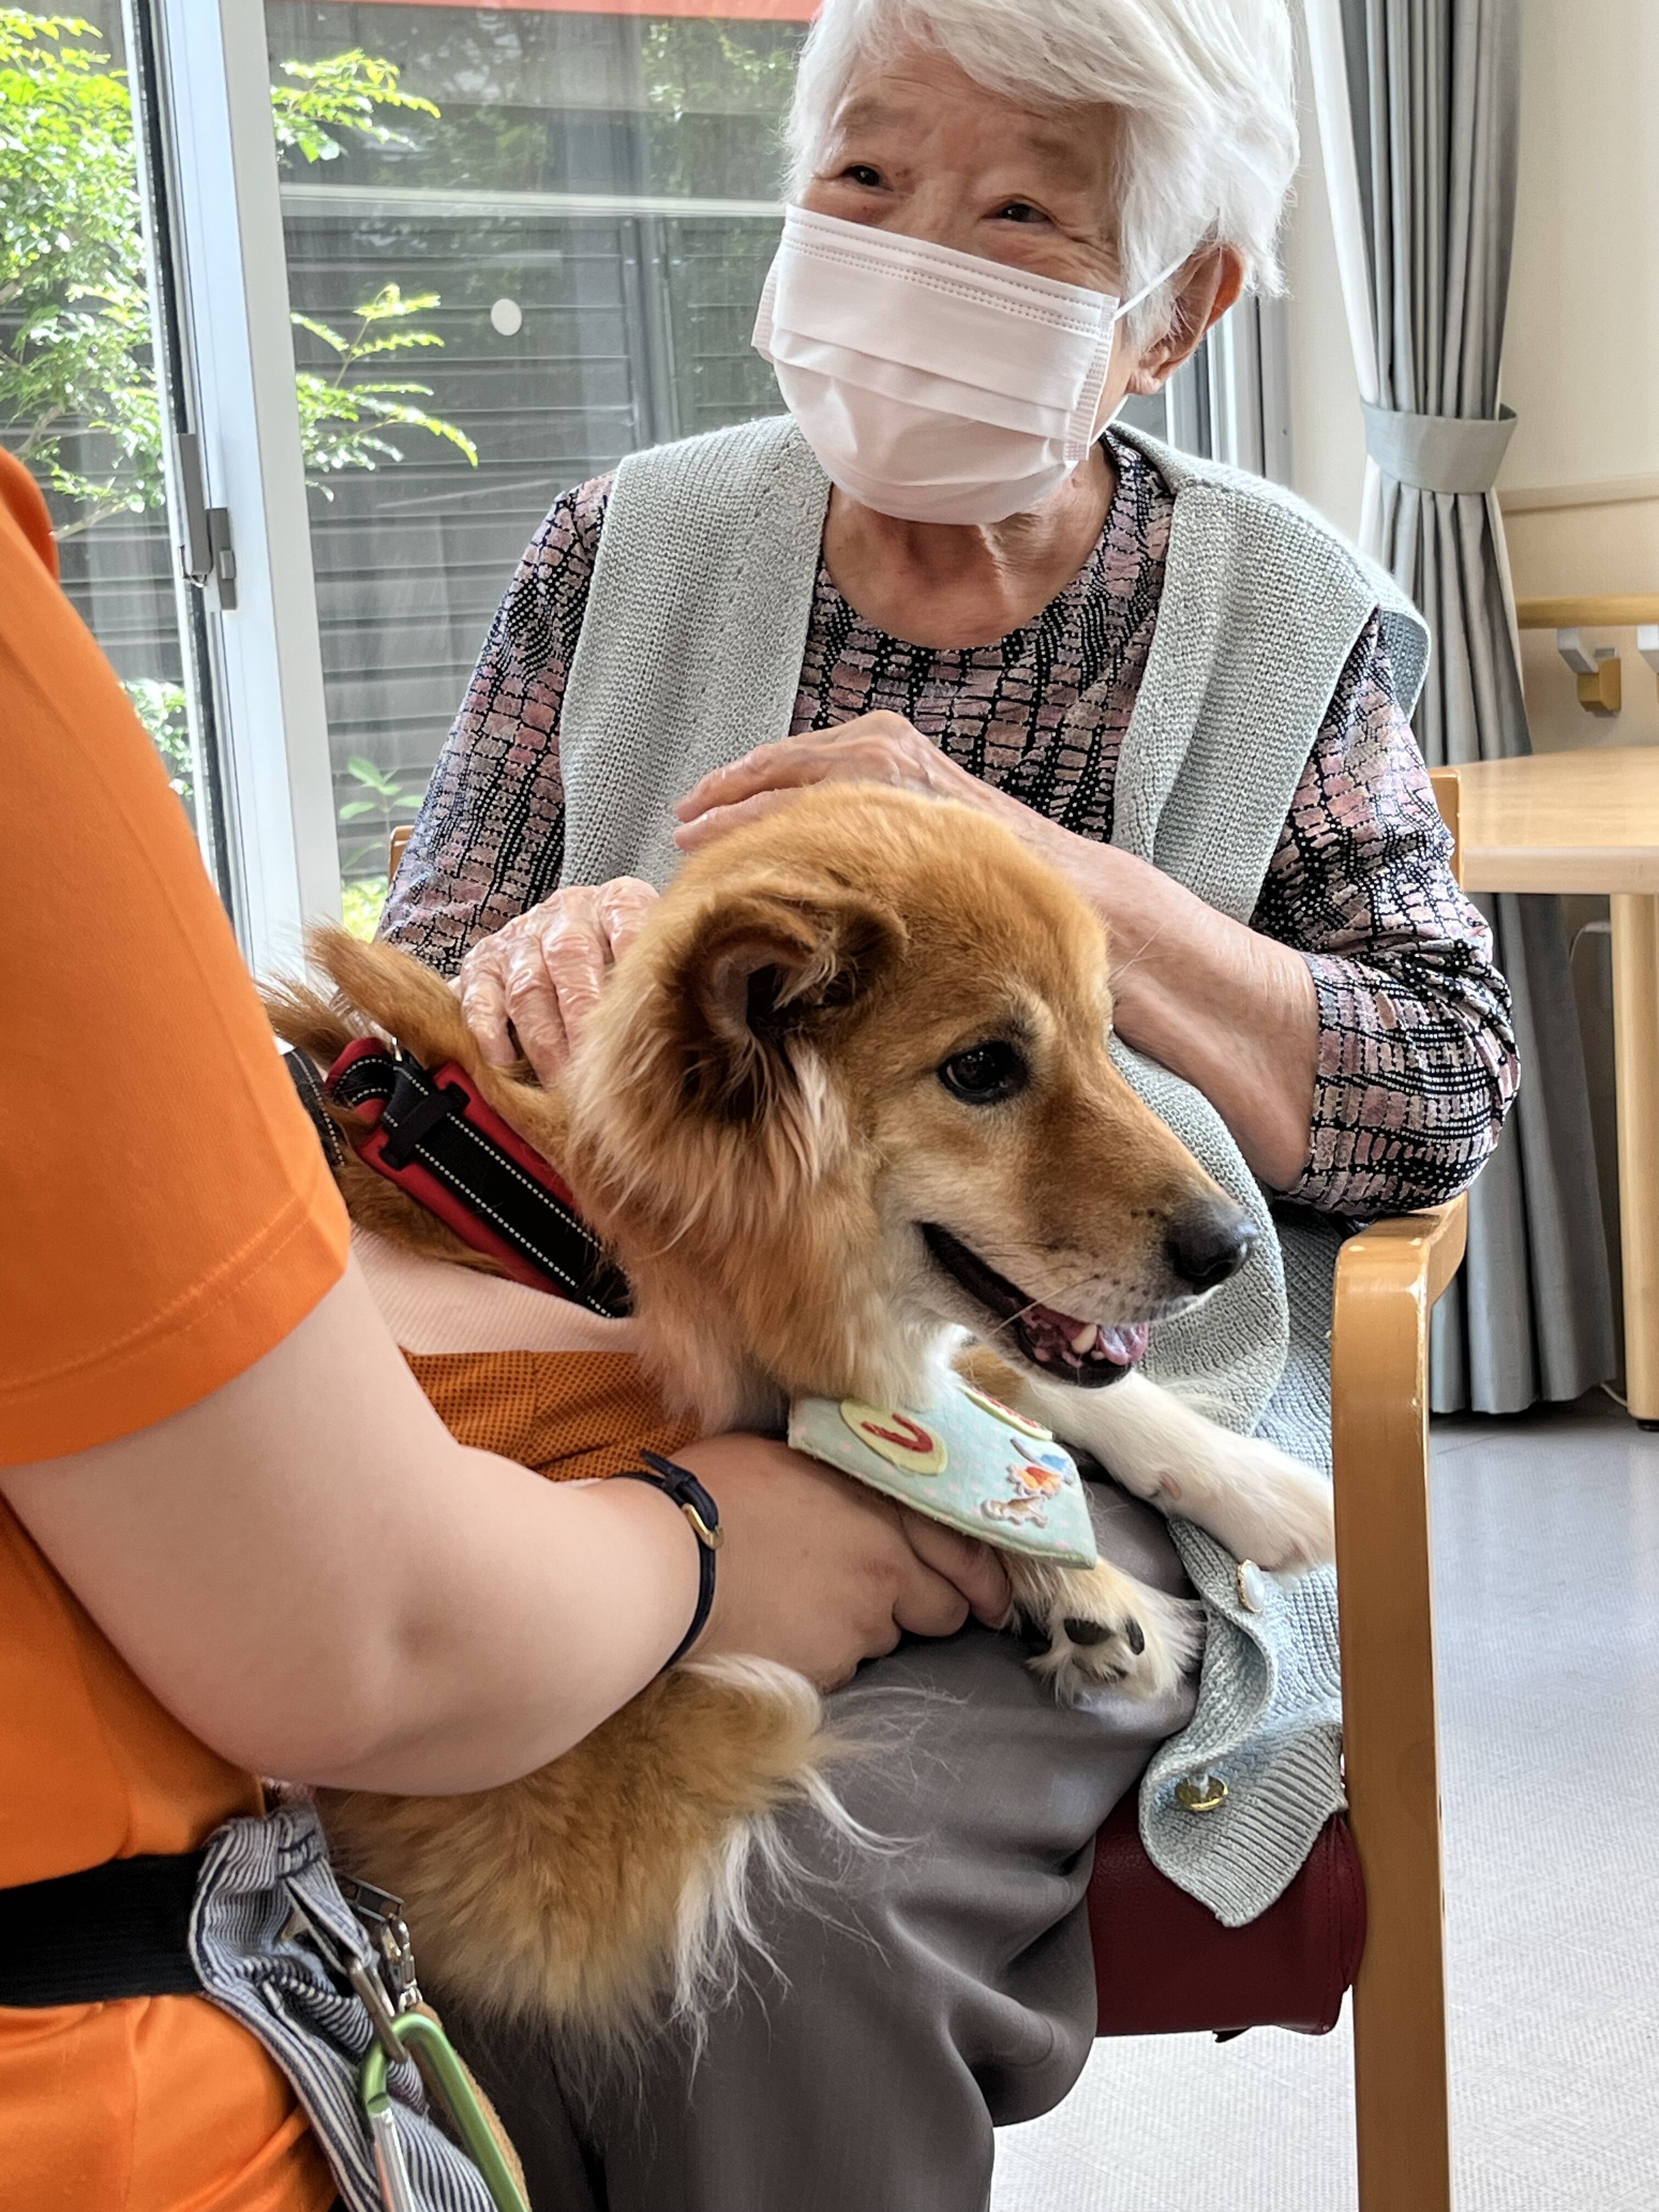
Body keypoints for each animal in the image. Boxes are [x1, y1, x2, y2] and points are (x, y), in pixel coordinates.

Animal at [265, 783, 1333, 2040]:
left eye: (1105, 1032)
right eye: (983, 1068)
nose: (1234, 1248)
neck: (588, 1238)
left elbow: (1011, 1388)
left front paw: (1252, 1498)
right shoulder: (522, 1819)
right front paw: (1085, 1586)